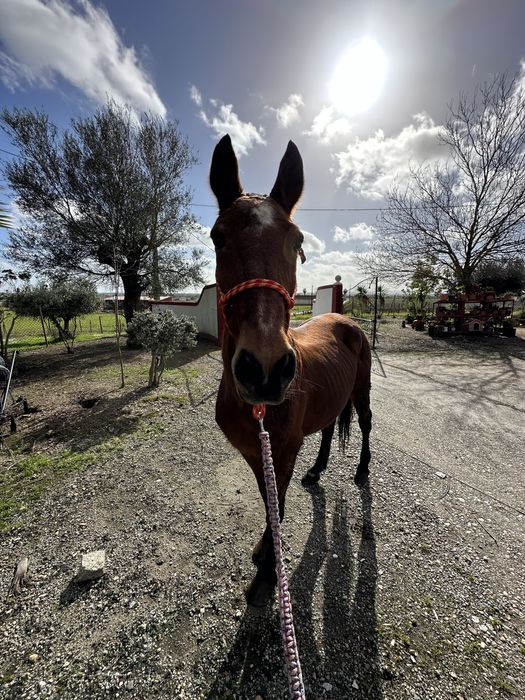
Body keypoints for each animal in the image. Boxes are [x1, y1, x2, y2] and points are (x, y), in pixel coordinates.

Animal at [209, 135, 372, 607]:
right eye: (217, 237)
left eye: (296, 238)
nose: (264, 368)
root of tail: (346, 320)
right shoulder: (254, 452)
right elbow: (269, 502)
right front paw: (264, 550)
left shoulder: (282, 450)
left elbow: (278, 506)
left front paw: (267, 574)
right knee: (330, 426)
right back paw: (317, 470)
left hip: (362, 388)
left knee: (366, 423)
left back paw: (361, 471)